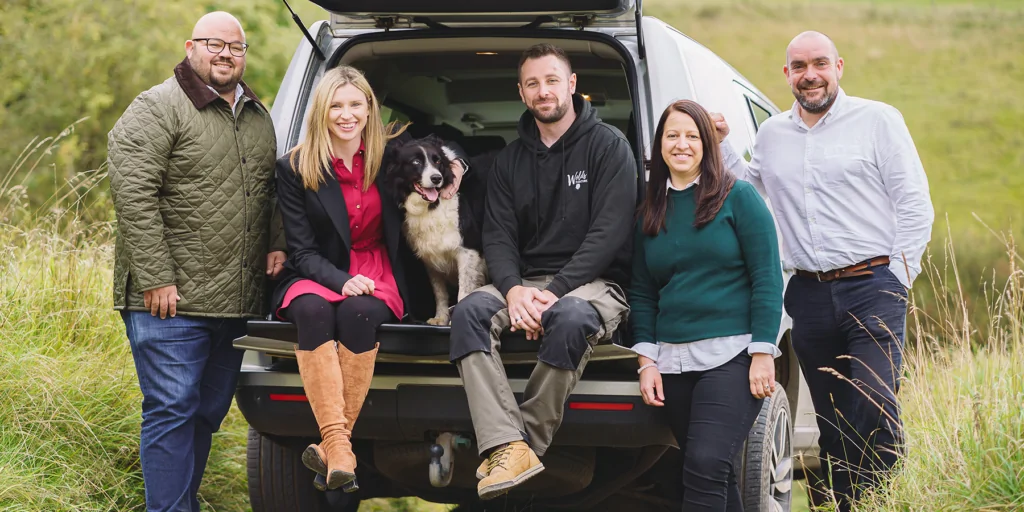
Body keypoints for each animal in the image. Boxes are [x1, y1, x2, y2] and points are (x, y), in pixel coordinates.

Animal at [387, 133, 491, 323]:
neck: (432, 205)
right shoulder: (430, 256)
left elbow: (464, 291)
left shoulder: (468, 250)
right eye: (415, 162)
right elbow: (439, 291)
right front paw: (440, 318)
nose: (436, 178)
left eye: (437, 161)